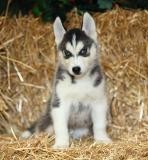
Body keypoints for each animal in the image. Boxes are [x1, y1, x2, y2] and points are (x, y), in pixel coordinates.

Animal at [22, 12, 111, 149]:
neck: (80, 82)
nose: (76, 69)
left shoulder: (98, 101)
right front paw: (61, 144)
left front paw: (102, 139)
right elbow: (61, 127)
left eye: (83, 51)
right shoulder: (59, 103)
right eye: (67, 53)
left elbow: (99, 124)